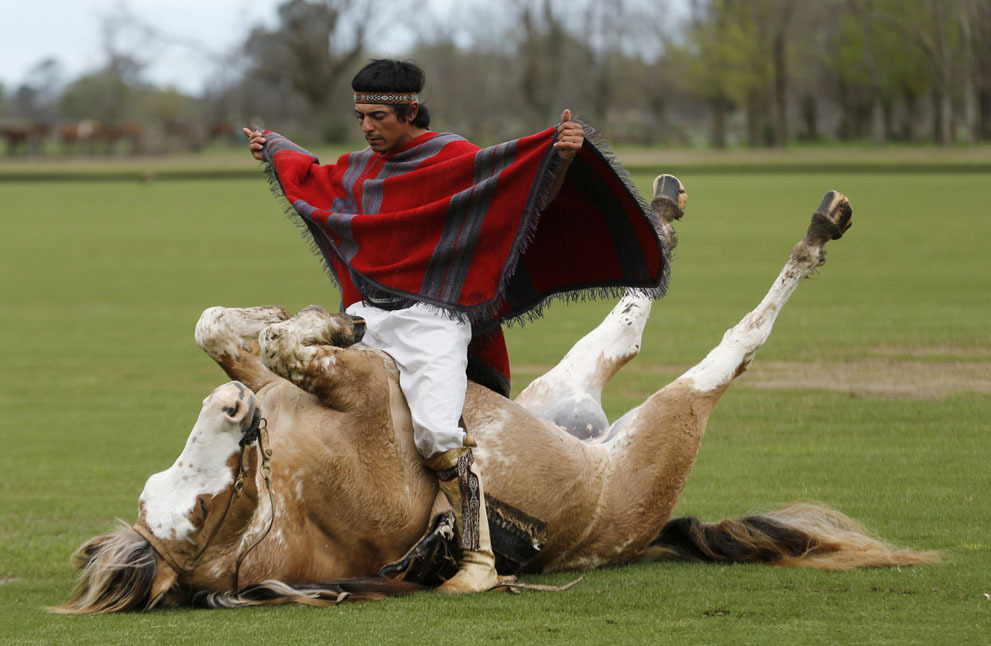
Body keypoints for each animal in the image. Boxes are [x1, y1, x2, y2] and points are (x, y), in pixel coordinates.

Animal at [54, 178, 936, 616]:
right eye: (208, 509)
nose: (233, 415)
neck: (288, 492)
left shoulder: (291, 382)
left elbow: (225, 329)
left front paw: (303, 315)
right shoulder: (365, 394)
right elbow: (285, 346)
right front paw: (320, 323)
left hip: (560, 396)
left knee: (623, 322)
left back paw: (661, 206)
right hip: (664, 424)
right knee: (718, 346)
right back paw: (814, 231)